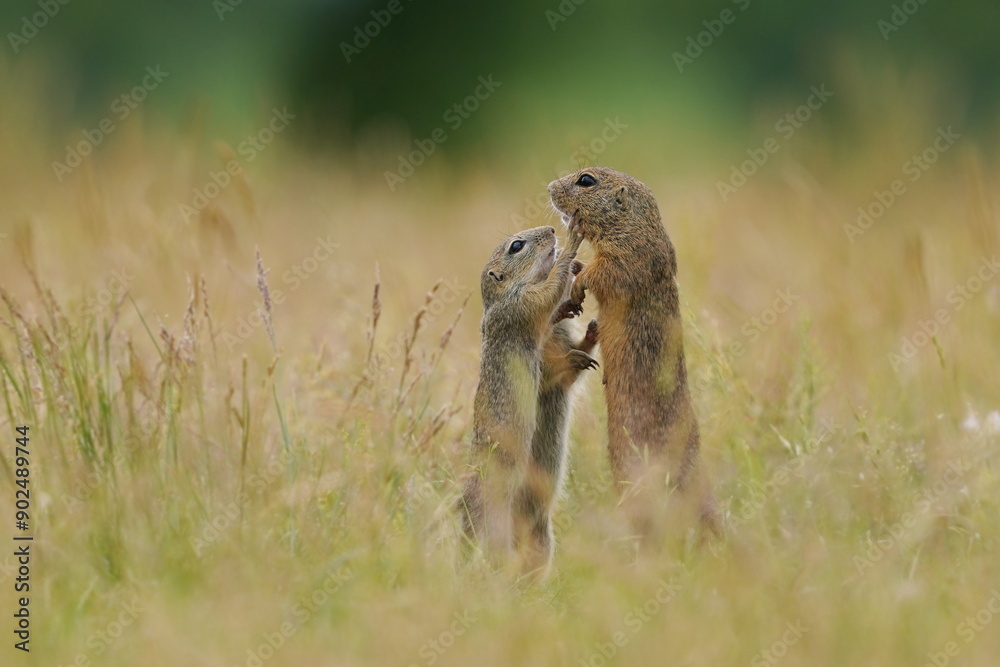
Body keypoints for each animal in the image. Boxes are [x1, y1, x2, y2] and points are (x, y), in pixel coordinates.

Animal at [458, 225, 597, 575]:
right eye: (516, 246)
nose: (551, 229)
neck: (502, 297)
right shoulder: (526, 303)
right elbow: (549, 291)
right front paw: (570, 248)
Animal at [547, 167, 719, 540]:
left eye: (586, 180)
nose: (550, 187)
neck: (634, 225)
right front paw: (573, 271)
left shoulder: (624, 259)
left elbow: (600, 274)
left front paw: (577, 283)